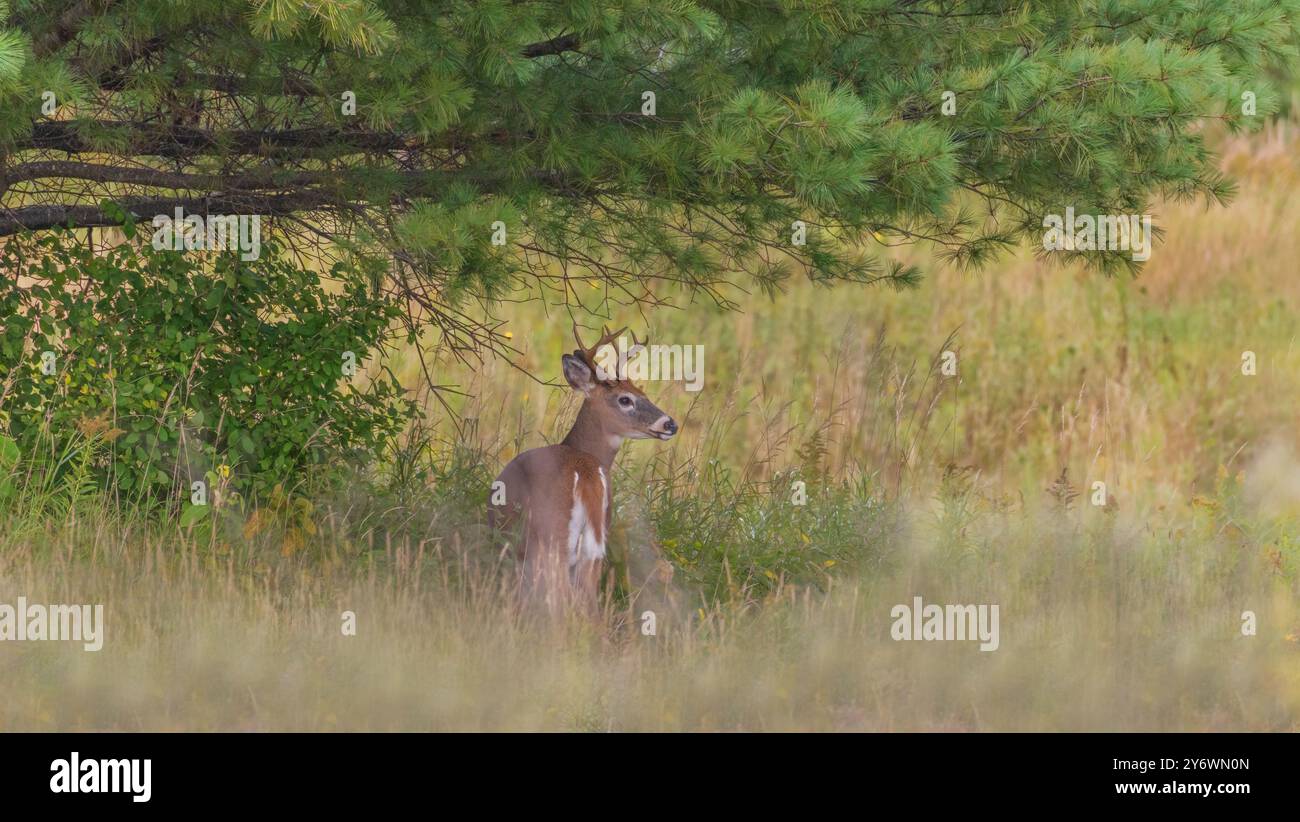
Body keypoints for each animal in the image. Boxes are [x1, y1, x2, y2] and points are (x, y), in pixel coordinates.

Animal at [488, 322, 681, 611]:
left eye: (642, 394)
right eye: (627, 399)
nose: (670, 424)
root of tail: (586, 475)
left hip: (552, 540)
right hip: (593, 547)